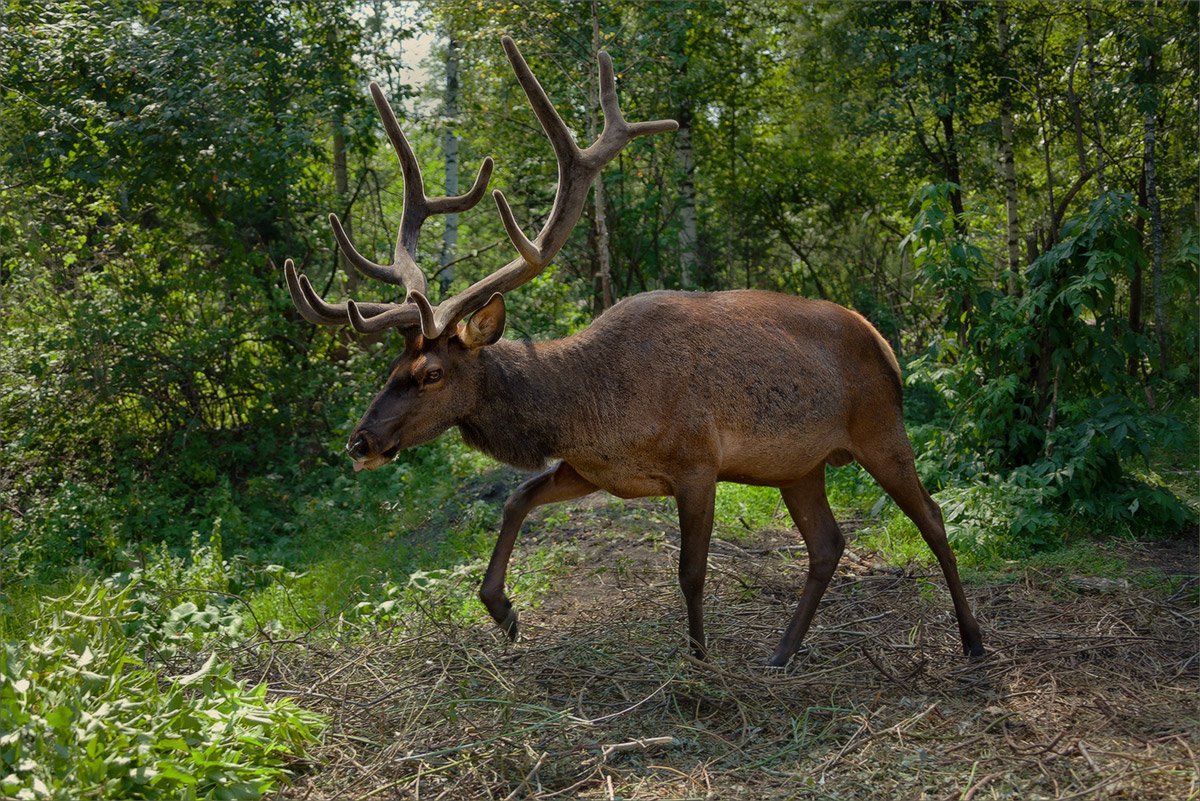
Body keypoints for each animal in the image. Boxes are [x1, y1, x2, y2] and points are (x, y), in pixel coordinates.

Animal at [283, 34, 984, 666]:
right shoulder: (591, 468)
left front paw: (698, 663)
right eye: (392, 367)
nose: (360, 442)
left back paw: (972, 641)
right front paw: (503, 611)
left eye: (429, 373)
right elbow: (516, 498)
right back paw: (782, 653)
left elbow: (690, 572)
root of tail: (885, 345)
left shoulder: (698, 462)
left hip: (880, 428)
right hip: (799, 464)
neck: (588, 407)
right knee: (828, 544)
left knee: (934, 519)